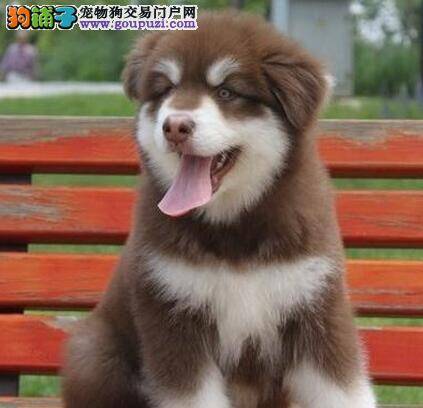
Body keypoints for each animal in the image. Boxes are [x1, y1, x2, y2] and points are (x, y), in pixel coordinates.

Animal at [62, 11, 376, 408]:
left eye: (226, 91)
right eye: (166, 90)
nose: (174, 126)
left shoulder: (316, 305)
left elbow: (341, 390)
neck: (234, 228)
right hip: (93, 353)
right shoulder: (173, 316)